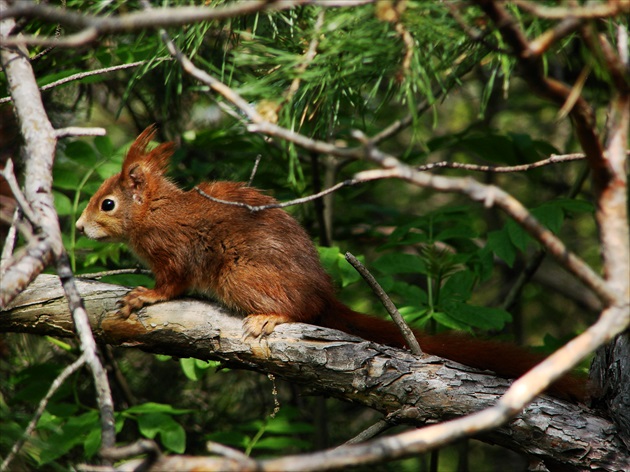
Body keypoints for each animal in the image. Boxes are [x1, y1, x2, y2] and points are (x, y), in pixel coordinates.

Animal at [78, 126, 588, 402]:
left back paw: (272, 316)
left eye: (107, 204)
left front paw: (144, 295)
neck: (154, 210)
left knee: (300, 311)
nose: (80, 228)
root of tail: (324, 295)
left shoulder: (175, 252)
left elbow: (171, 284)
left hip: (240, 273)